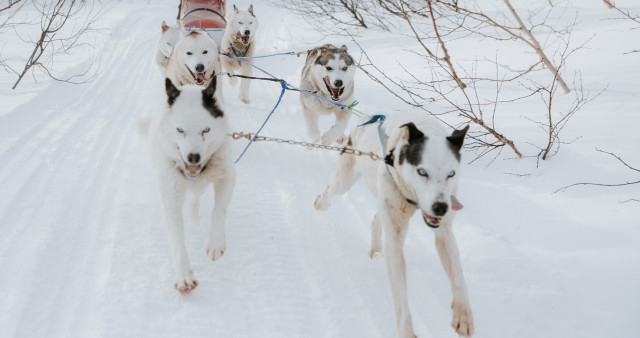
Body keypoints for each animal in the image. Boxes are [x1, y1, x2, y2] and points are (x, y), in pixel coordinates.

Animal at [149, 78, 235, 294]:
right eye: (180, 130)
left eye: (206, 130)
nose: (193, 157)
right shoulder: (171, 201)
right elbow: (178, 243)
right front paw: (184, 276)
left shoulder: (227, 177)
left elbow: (218, 211)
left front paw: (215, 243)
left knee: (196, 195)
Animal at [312, 112, 472, 336]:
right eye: (422, 172)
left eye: (451, 174)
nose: (441, 207)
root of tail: (366, 120)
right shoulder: (395, 244)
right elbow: (401, 300)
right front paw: (407, 332)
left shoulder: (444, 233)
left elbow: (458, 276)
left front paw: (463, 314)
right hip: (346, 179)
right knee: (331, 188)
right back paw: (321, 202)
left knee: (376, 219)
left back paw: (376, 249)